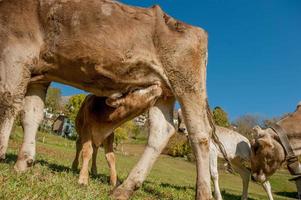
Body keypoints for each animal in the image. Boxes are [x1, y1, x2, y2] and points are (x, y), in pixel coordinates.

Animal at [0, 0, 211, 199]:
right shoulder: (41, 75)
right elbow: (31, 114)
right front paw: (23, 163)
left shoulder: (16, 51)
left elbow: (7, 102)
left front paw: (2, 154)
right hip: (166, 90)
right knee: (161, 131)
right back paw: (124, 189)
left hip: (187, 84)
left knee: (200, 135)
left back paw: (203, 193)